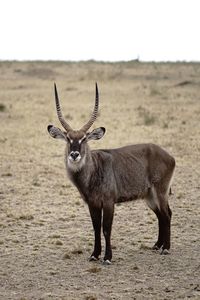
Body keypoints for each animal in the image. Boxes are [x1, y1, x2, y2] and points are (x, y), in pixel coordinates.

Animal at [47, 83, 176, 264]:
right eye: (67, 138)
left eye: (84, 138)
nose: (74, 154)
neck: (93, 171)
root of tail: (168, 155)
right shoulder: (92, 203)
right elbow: (95, 228)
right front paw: (94, 255)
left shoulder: (108, 202)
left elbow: (106, 228)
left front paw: (107, 257)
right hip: (149, 196)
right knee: (160, 216)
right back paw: (157, 245)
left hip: (160, 192)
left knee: (167, 214)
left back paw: (166, 248)